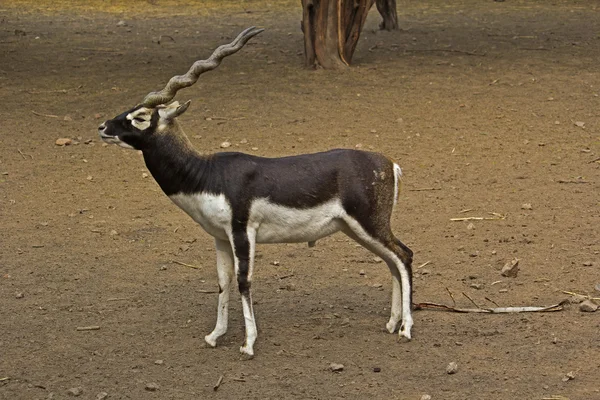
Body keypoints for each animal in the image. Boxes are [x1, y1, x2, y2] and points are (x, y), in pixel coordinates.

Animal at [99, 28, 412, 360]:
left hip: (369, 224)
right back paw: (392, 323)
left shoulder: (242, 232)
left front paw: (248, 343)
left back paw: (406, 328)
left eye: (140, 117)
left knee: (404, 256)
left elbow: (243, 281)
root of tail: (390, 164)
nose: (103, 127)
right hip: (357, 229)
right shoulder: (220, 237)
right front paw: (215, 335)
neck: (207, 173)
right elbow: (222, 282)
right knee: (392, 261)